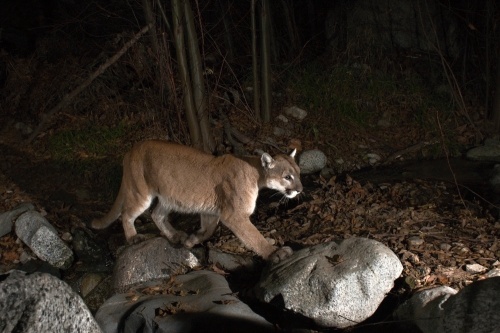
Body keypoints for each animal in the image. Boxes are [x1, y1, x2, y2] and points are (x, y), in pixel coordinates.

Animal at [90, 139, 302, 262]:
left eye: (299, 173)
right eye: (287, 177)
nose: (300, 189)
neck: (257, 173)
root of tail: (130, 151)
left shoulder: (212, 211)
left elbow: (208, 231)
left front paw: (191, 240)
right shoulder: (234, 215)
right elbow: (254, 237)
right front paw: (274, 253)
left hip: (168, 197)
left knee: (156, 214)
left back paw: (175, 235)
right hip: (140, 192)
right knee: (126, 213)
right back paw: (133, 237)